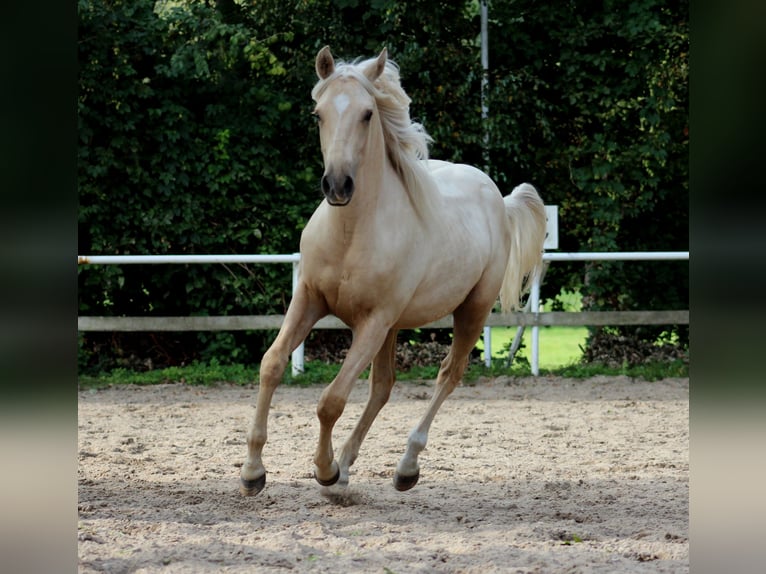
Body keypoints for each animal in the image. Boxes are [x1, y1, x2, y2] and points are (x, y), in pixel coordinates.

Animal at [243, 47, 548, 498]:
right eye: (317, 114)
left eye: (368, 114)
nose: (337, 185)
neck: (351, 234)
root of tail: (498, 197)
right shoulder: (309, 300)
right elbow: (272, 364)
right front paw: (253, 472)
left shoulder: (373, 321)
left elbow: (331, 400)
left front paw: (324, 470)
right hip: (395, 327)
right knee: (383, 387)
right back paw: (348, 467)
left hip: (471, 311)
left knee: (448, 374)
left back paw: (404, 467)